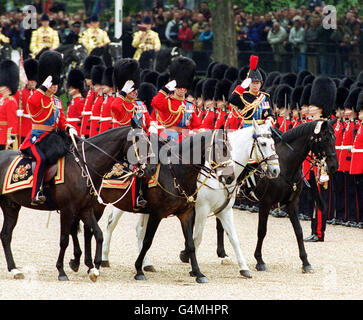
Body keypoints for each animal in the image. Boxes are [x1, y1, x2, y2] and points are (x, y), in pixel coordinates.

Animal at [0, 124, 155, 282]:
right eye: (141, 142)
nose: (152, 169)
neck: (84, 166)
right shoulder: (67, 209)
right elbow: (64, 240)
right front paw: (61, 271)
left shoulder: (85, 209)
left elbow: (98, 234)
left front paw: (95, 268)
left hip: (11, 206)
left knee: (6, 235)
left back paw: (14, 270)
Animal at [101, 120, 280, 278]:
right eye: (263, 143)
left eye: (273, 143)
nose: (276, 170)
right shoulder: (201, 209)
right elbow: (197, 238)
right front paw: (189, 261)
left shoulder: (224, 210)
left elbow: (233, 238)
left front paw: (243, 268)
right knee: (111, 223)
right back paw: (104, 258)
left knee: (139, 230)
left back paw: (146, 263)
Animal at [189, 119, 340, 272]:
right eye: (325, 139)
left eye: (334, 138)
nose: (334, 166)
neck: (285, 164)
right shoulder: (265, 202)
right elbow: (262, 231)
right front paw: (259, 260)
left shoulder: (292, 203)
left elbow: (298, 231)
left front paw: (305, 262)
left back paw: (222, 254)